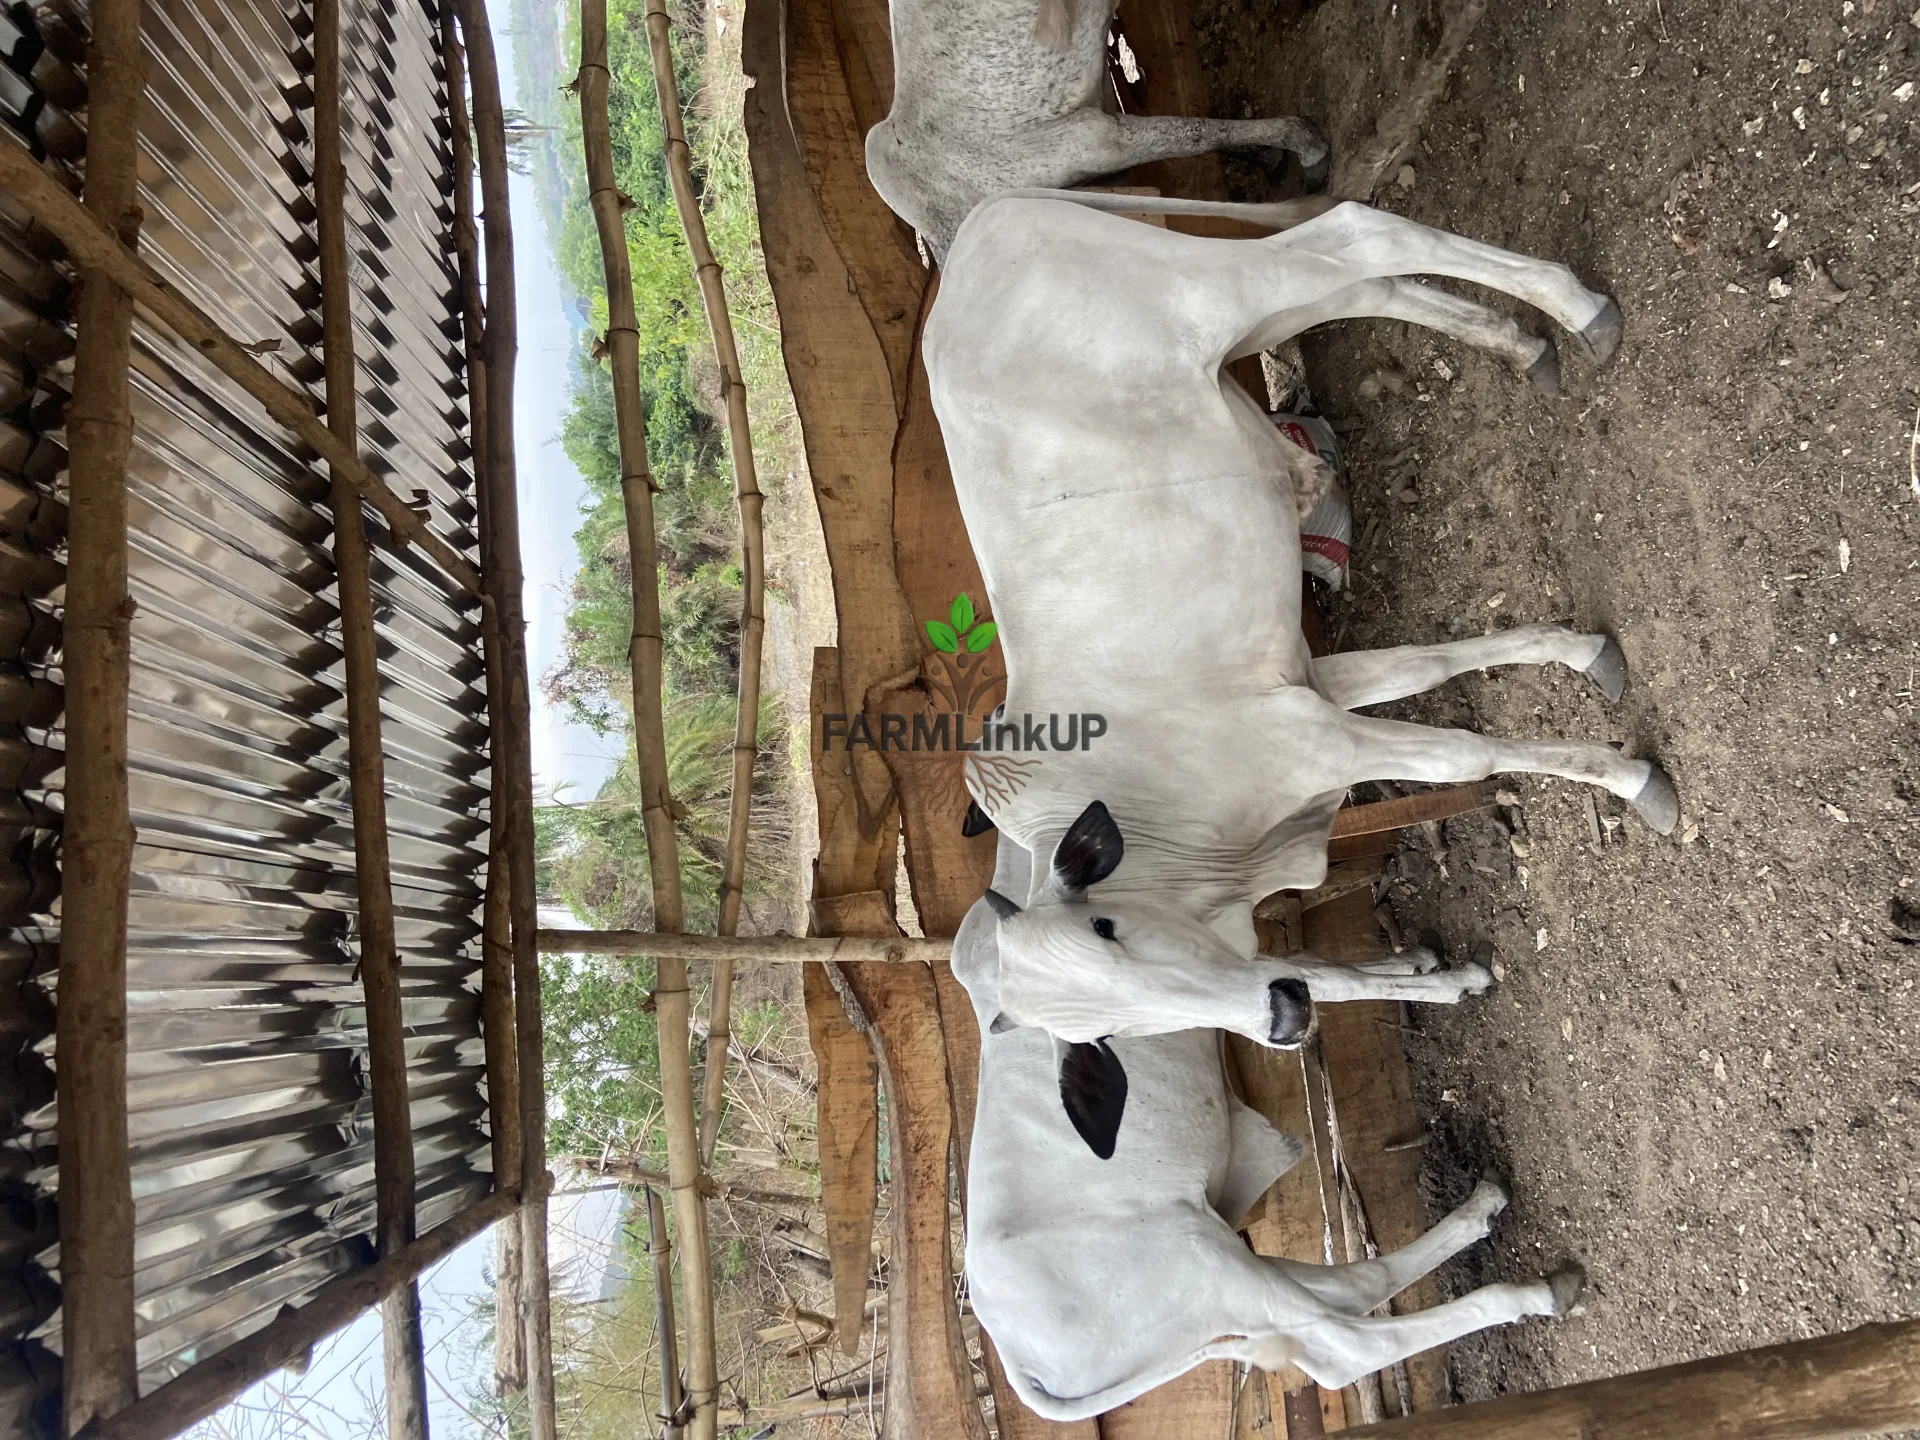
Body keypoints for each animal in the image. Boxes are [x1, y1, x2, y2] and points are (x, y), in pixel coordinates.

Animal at [924, 194, 1672, 1052]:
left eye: (1106, 930)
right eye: (1103, 1036)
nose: (1281, 1018)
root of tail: (981, 228)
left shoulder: (1312, 741)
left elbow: (1463, 756)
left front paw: (1632, 777)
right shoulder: (1308, 682)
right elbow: (1429, 663)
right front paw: (1584, 653)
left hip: (1212, 293)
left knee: (1355, 236)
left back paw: (1577, 309)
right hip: (1242, 327)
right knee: (1358, 287)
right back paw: (1523, 343)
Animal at [955, 835, 1583, 1419]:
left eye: (1103, 926)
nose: (1283, 1017)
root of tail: (1016, 1362)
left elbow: (1318, 967)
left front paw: (1415, 961)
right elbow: (1334, 980)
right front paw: (1455, 981)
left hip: (1231, 1270)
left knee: (1351, 1288)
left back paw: (1482, 1208)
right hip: (1210, 1265)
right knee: (1341, 1346)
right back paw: (1531, 1293)